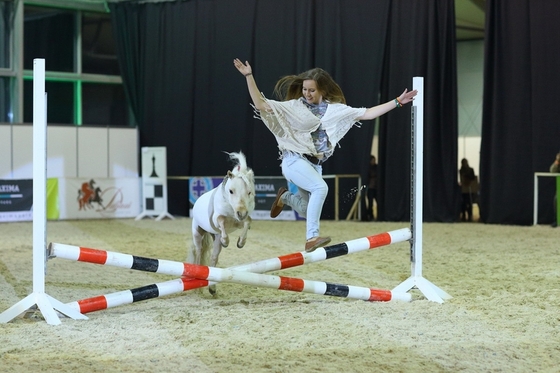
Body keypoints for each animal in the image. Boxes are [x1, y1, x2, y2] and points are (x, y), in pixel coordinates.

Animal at [190, 150, 256, 294]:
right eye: (231, 191)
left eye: (249, 192)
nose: (241, 213)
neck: (231, 208)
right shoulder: (218, 219)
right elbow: (220, 220)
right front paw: (226, 241)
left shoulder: (238, 222)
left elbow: (248, 221)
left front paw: (241, 242)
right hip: (197, 232)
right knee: (198, 252)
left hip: (215, 239)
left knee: (214, 257)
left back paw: (212, 288)